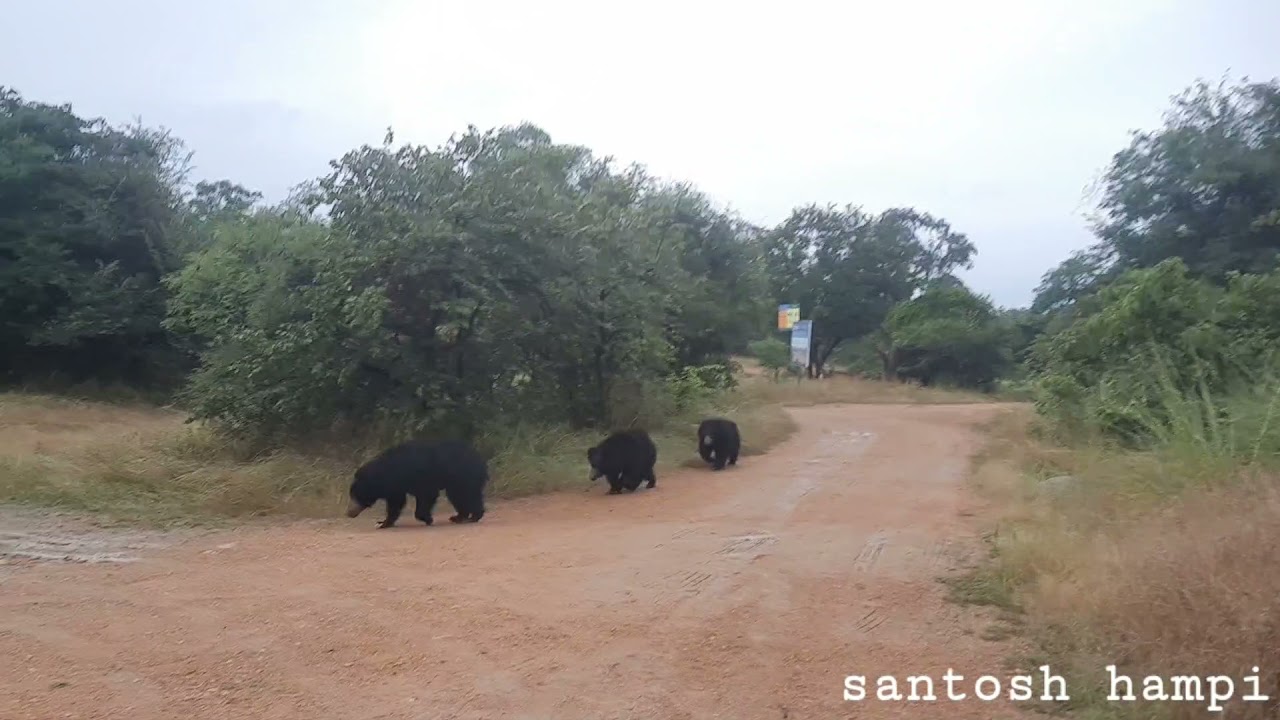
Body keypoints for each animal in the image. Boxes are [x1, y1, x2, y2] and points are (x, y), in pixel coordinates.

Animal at [345, 438, 489, 528]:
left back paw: (473, 516)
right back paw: (459, 517)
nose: (349, 513)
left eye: (354, 496)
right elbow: (395, 503)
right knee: (459, 497)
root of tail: (481, 460)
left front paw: (427, 518)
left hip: (463, 477)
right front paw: (383, 523)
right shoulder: (396, 487)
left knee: (466, 495)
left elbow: (427, 494)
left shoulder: (419, 477)